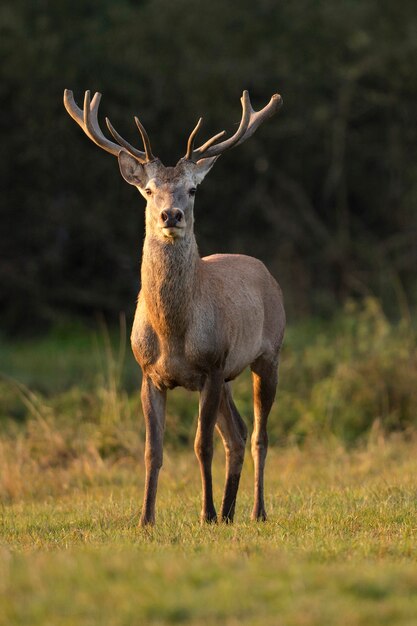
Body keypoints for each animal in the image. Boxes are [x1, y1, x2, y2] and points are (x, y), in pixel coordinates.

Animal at [64, 88, 286, 524]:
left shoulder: (212, 364)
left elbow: (202, 445)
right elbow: (153, 451)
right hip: (229, 376)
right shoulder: (149, 373)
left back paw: (255, 511)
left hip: (268, 354)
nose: (171, 214)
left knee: (257, 436)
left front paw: (205, 514)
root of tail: (266, 272)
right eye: (149, 190)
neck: (173, 333)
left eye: (193, 189)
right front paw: (145, 519)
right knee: (236, 434)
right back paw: (230, 512)